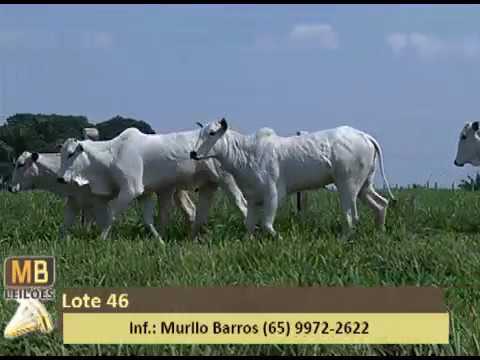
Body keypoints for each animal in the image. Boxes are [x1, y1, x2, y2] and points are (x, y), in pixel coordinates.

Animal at [8, 150, 195, 240]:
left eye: (21, 164)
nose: (10, 187)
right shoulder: (74, 201)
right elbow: (65, 225)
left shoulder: (98, 203)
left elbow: (103, 221)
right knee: (189, 211)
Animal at [57, 126, 248, 242]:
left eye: (71, 153)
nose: (60, 179)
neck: (112, 154)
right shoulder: (145, 194)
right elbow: (149, 220)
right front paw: (160, 241)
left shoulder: (130, 190)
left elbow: (111, 216)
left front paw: (101, 239)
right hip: (208, 186)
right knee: (198, 214)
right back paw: (192, 240)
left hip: (227, 180)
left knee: (242, 204)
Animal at [189, 116, 396, 238]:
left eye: (212, 133)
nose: (193, 153)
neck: (245, 152)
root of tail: (364, 136)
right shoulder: (253, 197)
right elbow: (249, 224)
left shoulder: (273, 194)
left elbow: (266, 224)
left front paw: (279, 238)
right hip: (364, 186)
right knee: (381, 204)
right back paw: (380, 233)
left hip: (347, 185)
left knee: (351, 216)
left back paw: (344, 238)